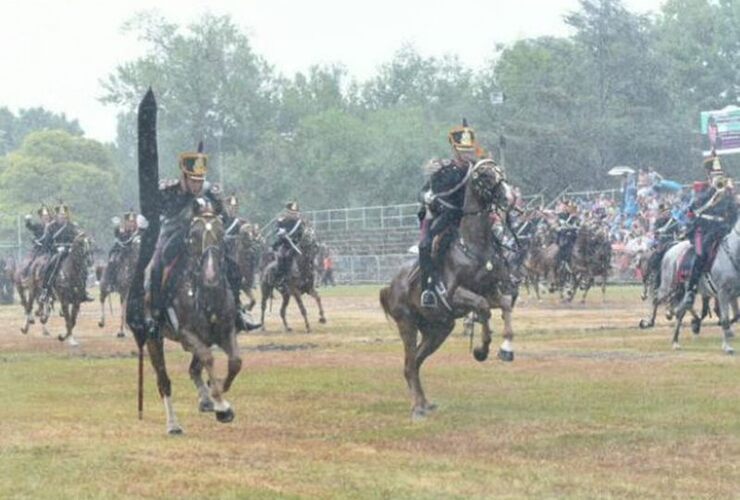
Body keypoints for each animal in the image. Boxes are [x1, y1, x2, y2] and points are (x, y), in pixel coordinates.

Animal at [146, 211, 244, 434]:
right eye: (193, 236)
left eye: (221, 233)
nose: (211, 277)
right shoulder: (186, 334)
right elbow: (208, 358)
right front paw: (221, 405)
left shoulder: (227, 331)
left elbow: (235, 362)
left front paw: (218, 391)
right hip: (154, 339)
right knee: (164, 381)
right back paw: (173, 425)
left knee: (193, 369)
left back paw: (205, 400)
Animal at [382, 159, 516, 418]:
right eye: (485, 176)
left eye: (500, 173)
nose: (509, 197)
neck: (474, 245)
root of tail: (390, 287)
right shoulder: (455, 295)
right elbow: (483, 309)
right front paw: (481, 350)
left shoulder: (491, 291)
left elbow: (503, 305)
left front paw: (505, 349)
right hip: (407, 325)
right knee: (409, 365)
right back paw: (417, 408)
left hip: (438, 330)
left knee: (415, 363)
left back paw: (425, 403)